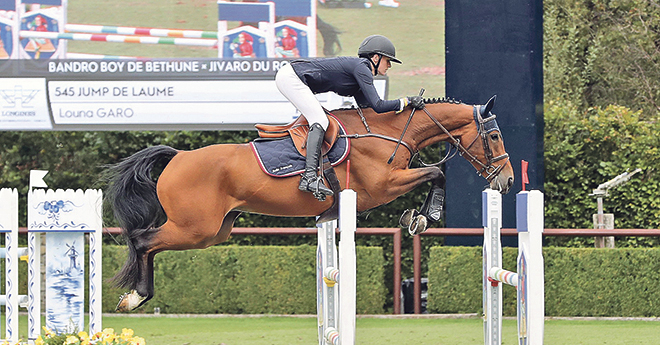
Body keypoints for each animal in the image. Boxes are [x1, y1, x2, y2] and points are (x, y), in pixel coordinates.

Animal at [104, 94, 516, 312]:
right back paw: (135, 298)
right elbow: (435, 174)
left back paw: (134, 298)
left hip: (214, 231)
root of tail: (177, 157)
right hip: (195, 228)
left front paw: (417, 217)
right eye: (495, 136)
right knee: (143, 240)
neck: (388, 132)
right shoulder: (383, 186)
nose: (509, 180)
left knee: (149, 243)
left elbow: (434, 174)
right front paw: (423, 217)